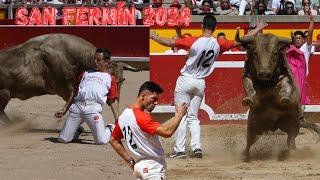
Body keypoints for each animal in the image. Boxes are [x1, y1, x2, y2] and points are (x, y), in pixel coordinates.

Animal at [0, 33, 141, 126]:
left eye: (122, 80)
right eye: (113, 81)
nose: (115, 99)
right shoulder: (65, 88)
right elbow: (72, 102)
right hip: (5, 94)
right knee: (1, 111)